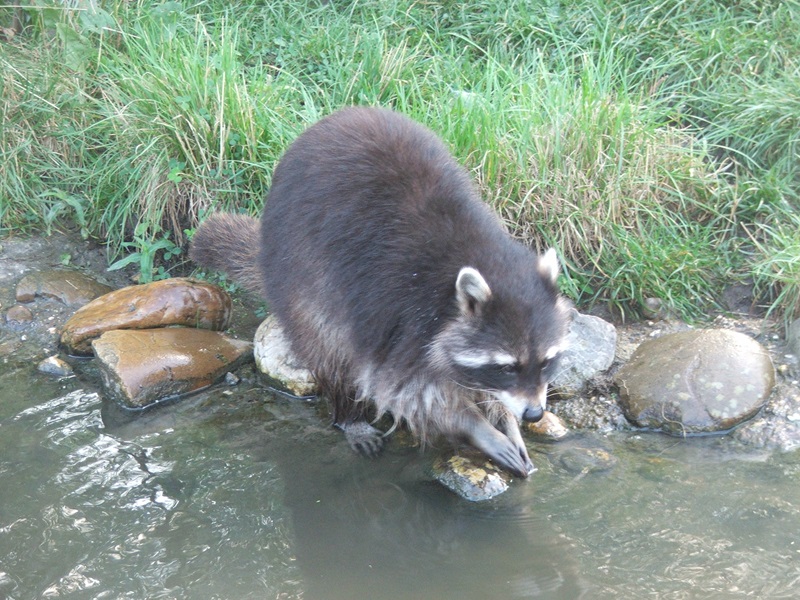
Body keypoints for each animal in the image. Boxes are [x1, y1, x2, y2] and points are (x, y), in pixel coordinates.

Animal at [191, 105, 572, 476]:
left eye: (546, 362)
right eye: (507, 367)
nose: (534, 414)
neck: (482, 256)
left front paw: (504, 418)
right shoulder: (403, 314)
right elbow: (404, 392)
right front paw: (475, 426)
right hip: (299, 268)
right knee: (329, 343)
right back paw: (349, 416)